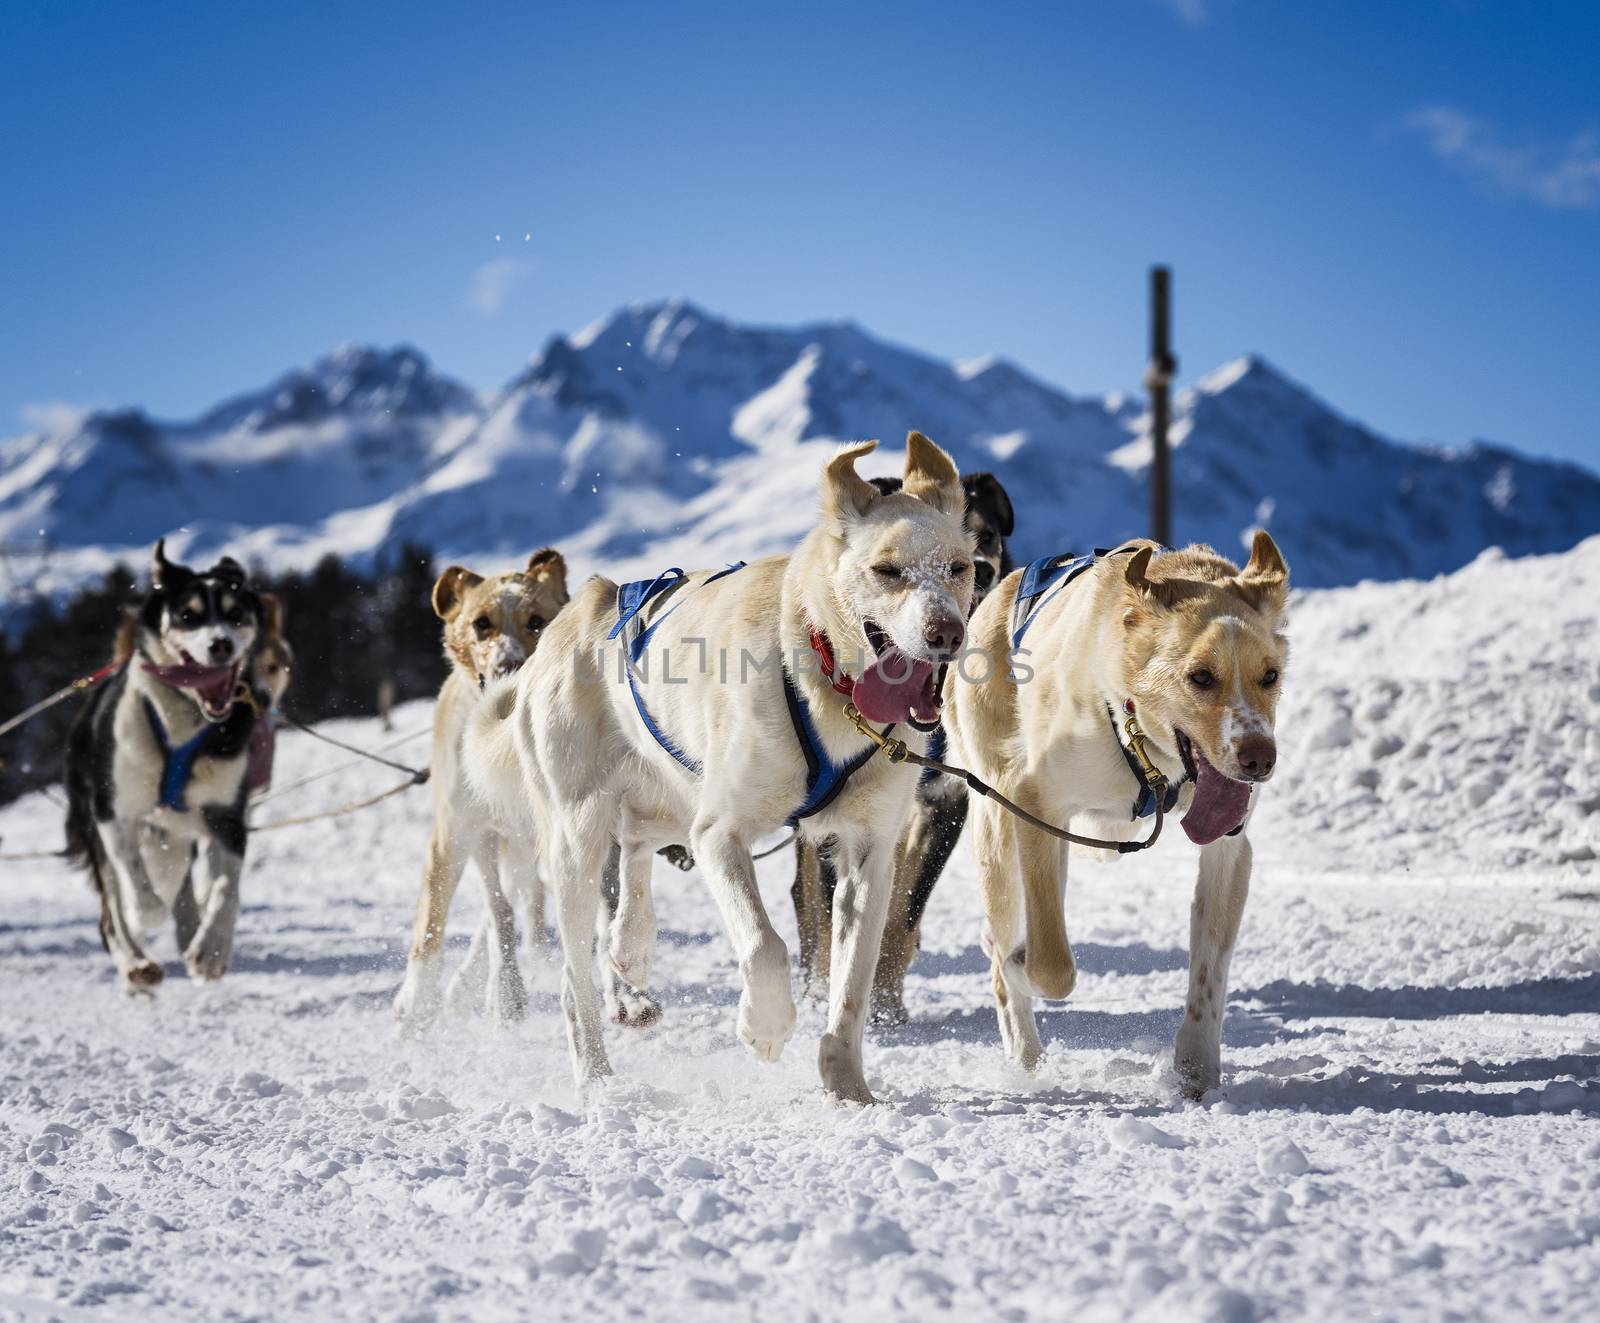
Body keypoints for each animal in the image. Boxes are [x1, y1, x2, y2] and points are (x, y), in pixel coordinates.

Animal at [64, 543, 265, 985]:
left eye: (236, 614)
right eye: (188, 615)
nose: (221, 644)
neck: (181, 726)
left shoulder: (227, 814)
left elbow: (226, 887)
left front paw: (212, 948)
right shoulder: (112, 811)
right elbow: (137, 885)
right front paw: (147, 913)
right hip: (94, 826)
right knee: (112, 911)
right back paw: (135, 963)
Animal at [467, 428, 972, 1100]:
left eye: (960, 568)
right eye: (887, 571)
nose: (947, 632)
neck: (826, 679)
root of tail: (579, 613)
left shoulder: (868, 853)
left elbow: (850, 987)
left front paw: (847, 1087)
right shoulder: (721, 833)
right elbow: (764, 945)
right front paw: (766, 1027)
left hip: (670, 795)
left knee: (636, 840)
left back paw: (631, 945)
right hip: (579, 835)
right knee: (577, 983)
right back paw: (597, 1076)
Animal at [940, 527, 1292, 1094]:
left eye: (1270, 675)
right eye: (1200, 677)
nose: (1260, 758)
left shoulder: (1230, 849)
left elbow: (1210, 970)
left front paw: (1196, 1066)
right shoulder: (1032, 801)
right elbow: (1049, 970)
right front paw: (1016, 961)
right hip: (1000, 822)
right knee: (1010, 941)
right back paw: (1024, 1052)